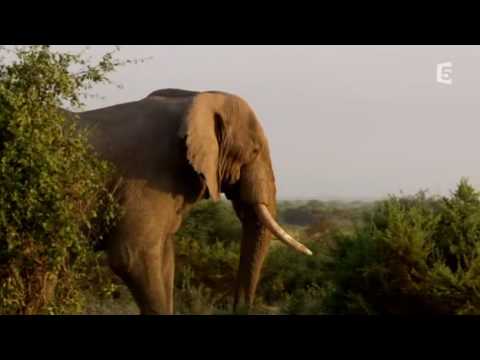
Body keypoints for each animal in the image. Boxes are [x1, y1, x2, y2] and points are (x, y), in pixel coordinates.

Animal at [65, 88, 314, 314]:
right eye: (254, 151)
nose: (239, 308)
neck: (195, 98)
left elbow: (166, 260)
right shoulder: (144, 178)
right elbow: (131, 256)